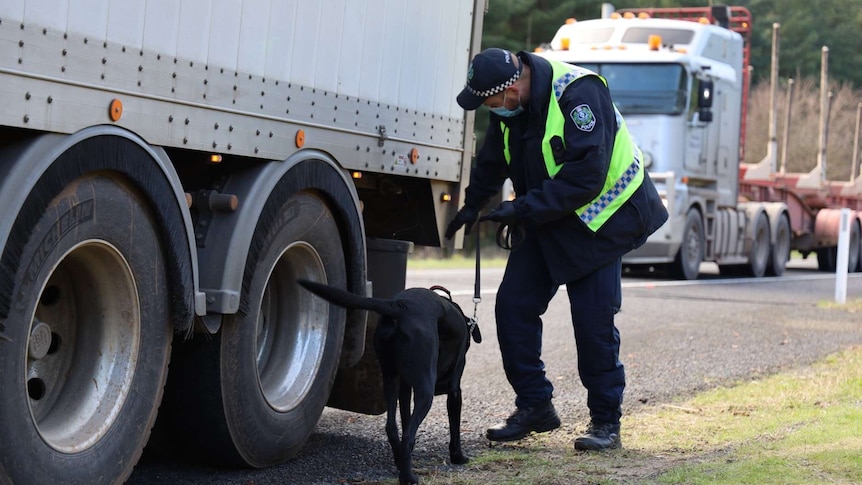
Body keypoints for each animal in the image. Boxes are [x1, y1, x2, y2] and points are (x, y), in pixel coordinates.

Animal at [300, 278, 482, 482]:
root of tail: (399, 306)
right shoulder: (454, 390)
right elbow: (454, 426)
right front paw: (458, 457)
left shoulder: (404, 388)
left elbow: (405, 419)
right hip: (424, 388)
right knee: (408, 435)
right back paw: (408, 477)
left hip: (389, 378)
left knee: (393, 428)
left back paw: (400, 463)